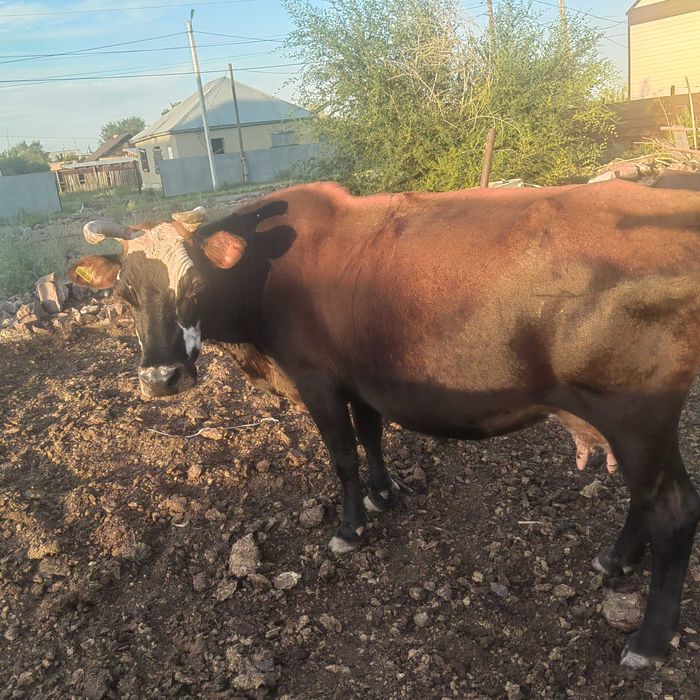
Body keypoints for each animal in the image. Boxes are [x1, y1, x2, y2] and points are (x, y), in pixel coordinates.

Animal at [68, 180, 700, 668]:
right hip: (643, 427)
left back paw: (649, 640)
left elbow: (343, 455)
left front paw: (350, 528)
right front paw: (382, 494)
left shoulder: (319, 382)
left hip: (636, 416)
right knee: (651, 500)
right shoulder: (362, 381)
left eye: (194, 286)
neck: (267, 278)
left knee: (674, 511)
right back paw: (616, 560)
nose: (161, 378)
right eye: (126, 294)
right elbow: (371, 437)